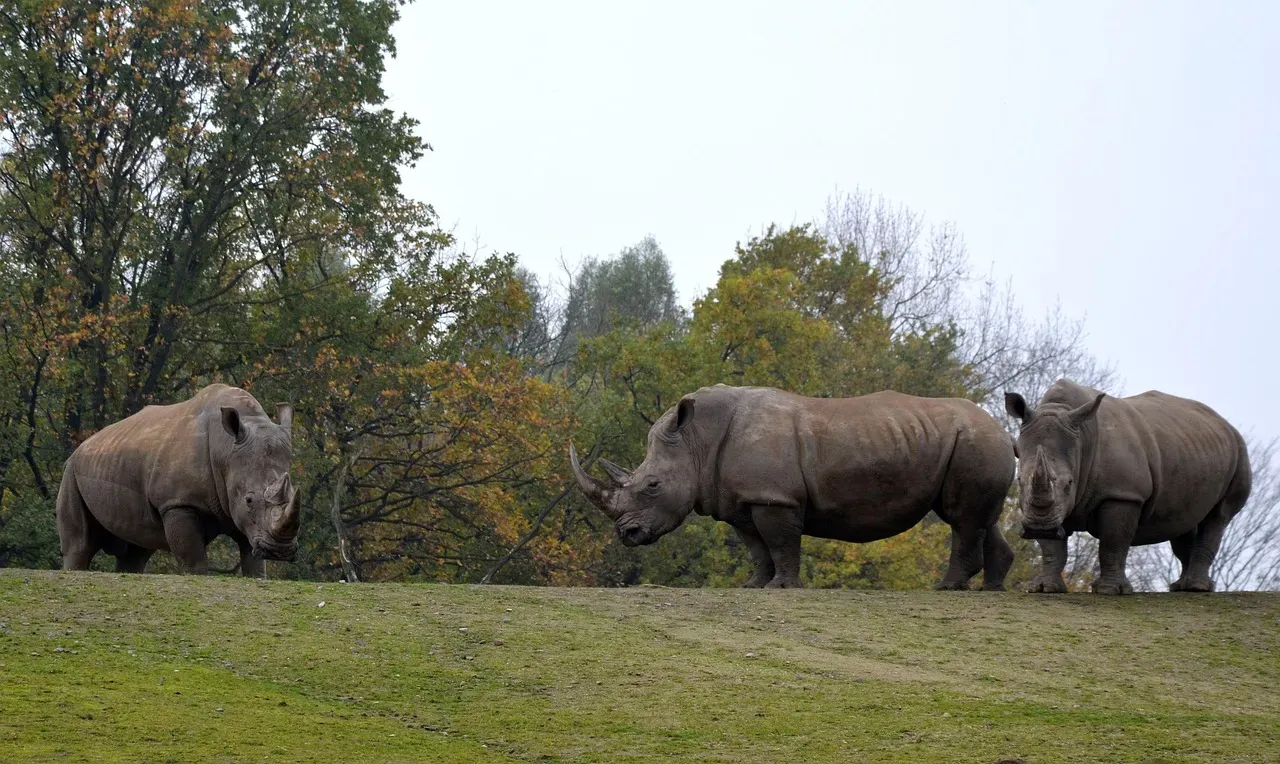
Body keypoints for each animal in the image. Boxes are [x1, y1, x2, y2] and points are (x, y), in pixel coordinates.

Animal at [56, 383, 302, 575]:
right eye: (249, 499)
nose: (280, 551)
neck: (224, 449)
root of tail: (83, 444)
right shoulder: (178, 502)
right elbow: (193, 557)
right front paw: (198, 575)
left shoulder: (239, 507)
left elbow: (253, 559)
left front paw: (257, 576)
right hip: (71, 471)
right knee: (79, 544)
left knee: (136, 548)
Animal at [571, 384, 1017, 589]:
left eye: (652, 485)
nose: (626, 534)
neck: (697, 440)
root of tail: (1003, 429)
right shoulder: (742, 499)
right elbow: (756, 547)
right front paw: (754, 586)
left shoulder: (774, 498)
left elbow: (781, 542)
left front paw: (783, 587)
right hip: (972, 443)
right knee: (982, 518)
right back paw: (989, 590)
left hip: (974, 442)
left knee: (962, 518)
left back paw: (948, 587)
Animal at [1005, 379, 1252, 594]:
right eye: (1020, 481)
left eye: (1069, 483)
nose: (1038, 528)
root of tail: (1225, 423)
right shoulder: (1050, 510)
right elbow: (1051, 548)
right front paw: (1044, 588)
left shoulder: (1123, 494)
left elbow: (1113, 542)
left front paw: (1110, 591)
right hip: (1192, 449)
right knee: (1185, 519)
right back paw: (1180, 587)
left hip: (1240, 452)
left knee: (1219, 516)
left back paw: (1196, 588)